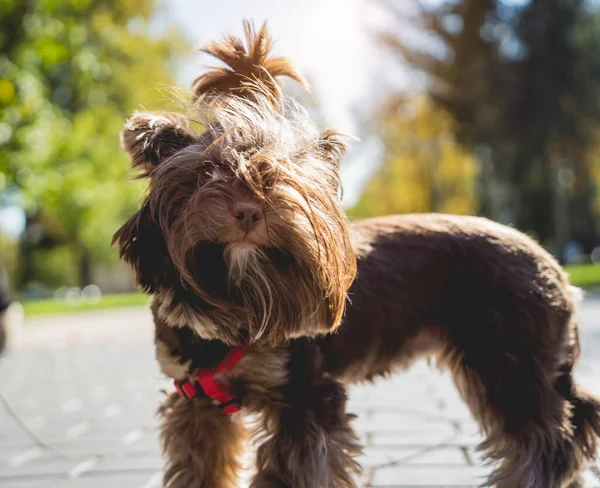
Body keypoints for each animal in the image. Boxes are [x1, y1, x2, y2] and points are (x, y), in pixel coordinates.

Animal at [115, 21, 600, 486]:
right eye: (206, 173)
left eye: (284, 177)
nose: (249, 209)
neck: (237, 300)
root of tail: (558, 269)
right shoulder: (197, 404)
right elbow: (200, 467)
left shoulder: (304, 398)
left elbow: (292, 472)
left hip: (509, 363)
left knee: (546, 443)